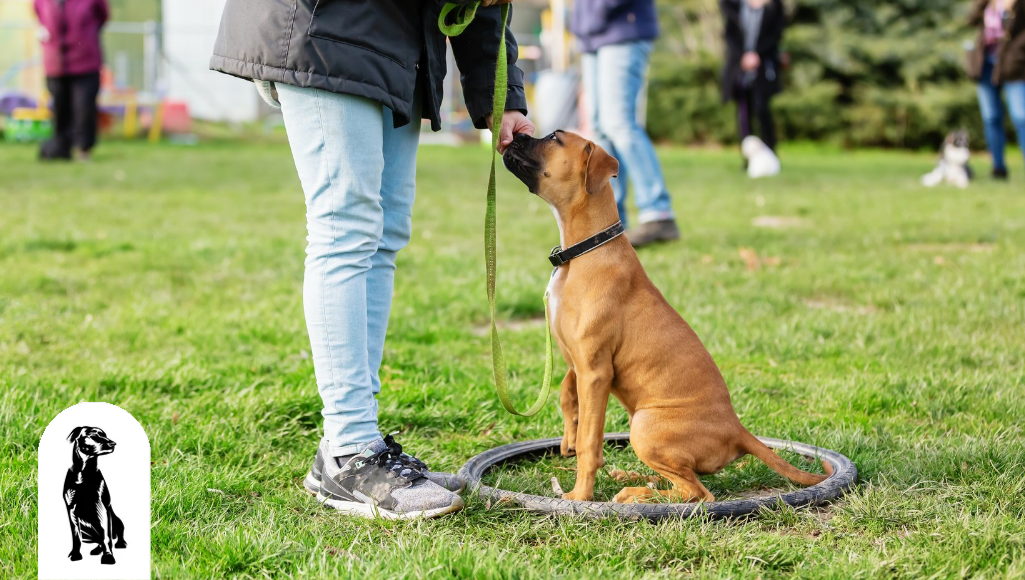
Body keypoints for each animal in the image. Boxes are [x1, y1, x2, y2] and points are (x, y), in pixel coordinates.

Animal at [63, 428, 126, 565]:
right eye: (93, 435)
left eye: (105, 435)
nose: (113, 443)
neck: (84, 472)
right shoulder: (71, 509)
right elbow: (76, 536)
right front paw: (75, 554)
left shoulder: (102, 506)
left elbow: (106, 536)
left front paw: (108, 556)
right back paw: (97, 550)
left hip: (116, 520)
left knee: (116, 533)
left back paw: (120, 544)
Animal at [504, 132, 832, 504]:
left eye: (554, 138)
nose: (516, 134)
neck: (585, 251)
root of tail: (738, 430)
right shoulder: (577, 361)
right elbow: (566, 394)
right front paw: (567, 438)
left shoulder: (596, 371)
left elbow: (591, 441)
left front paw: (579, 496)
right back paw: (635, 478)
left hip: (644, 426)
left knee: (697, 493)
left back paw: (635, 493)